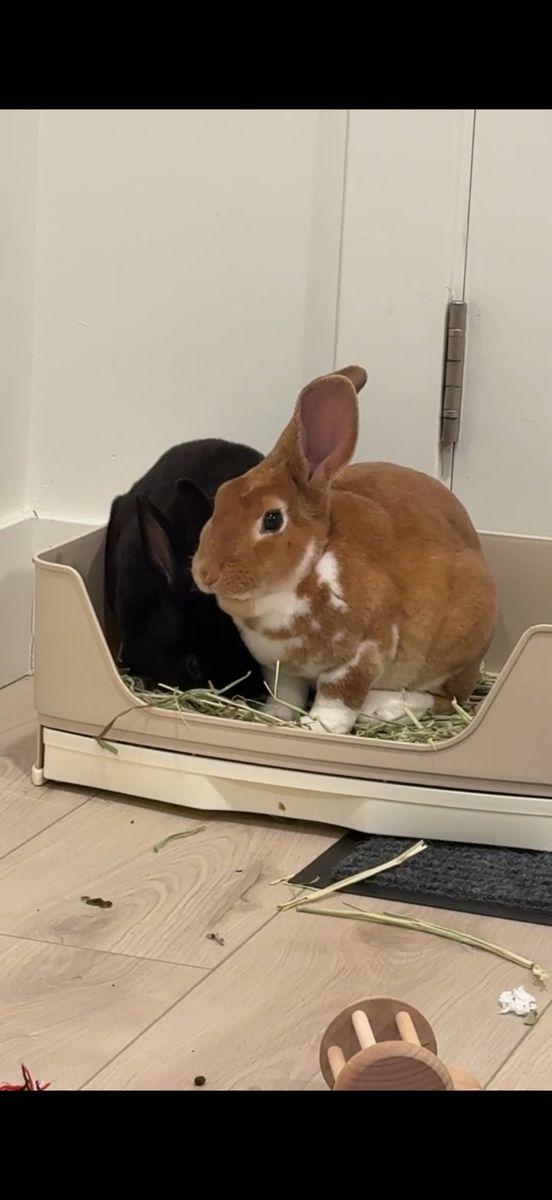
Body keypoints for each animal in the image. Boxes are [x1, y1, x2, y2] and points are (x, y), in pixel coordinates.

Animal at [191, 367, 497, 735]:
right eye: (221, 496)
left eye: (272, 519)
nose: (206, 574)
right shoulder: (282, 669)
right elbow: (286, 695)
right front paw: (277, 716)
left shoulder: (362, 651)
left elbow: (339, 694)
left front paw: (318, 726)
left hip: (451, 654)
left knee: (446, 700)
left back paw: (385, 708)